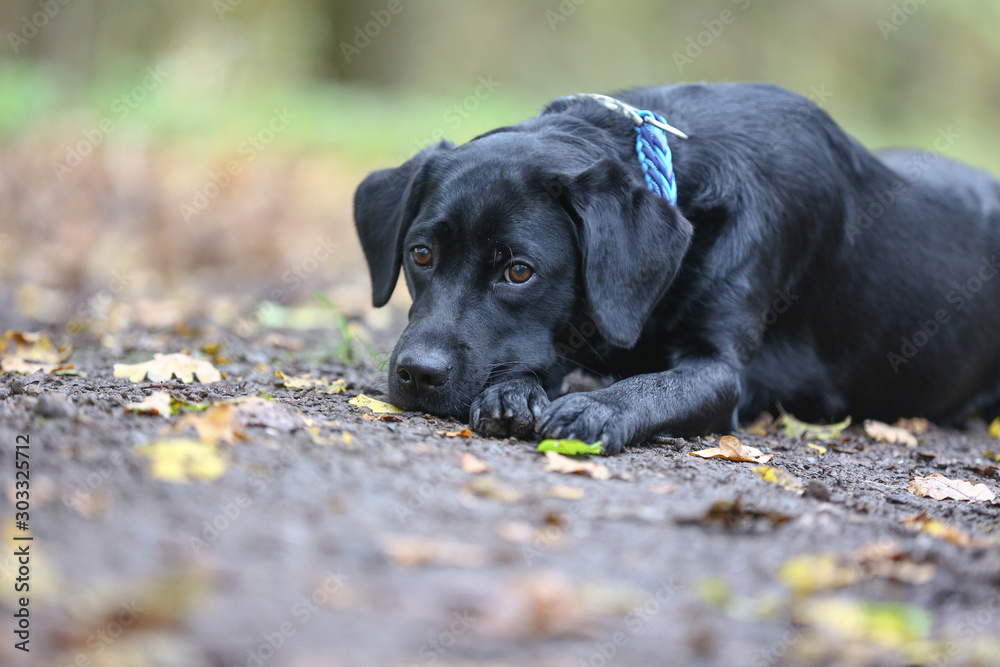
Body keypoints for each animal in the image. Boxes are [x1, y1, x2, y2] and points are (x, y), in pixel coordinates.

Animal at [356, 81, 1000, 452]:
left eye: (519, 271)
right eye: (420, 254)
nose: (417, 375)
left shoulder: (724, 372)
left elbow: (659, 385)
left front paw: (597, 407)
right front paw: (513, 393)